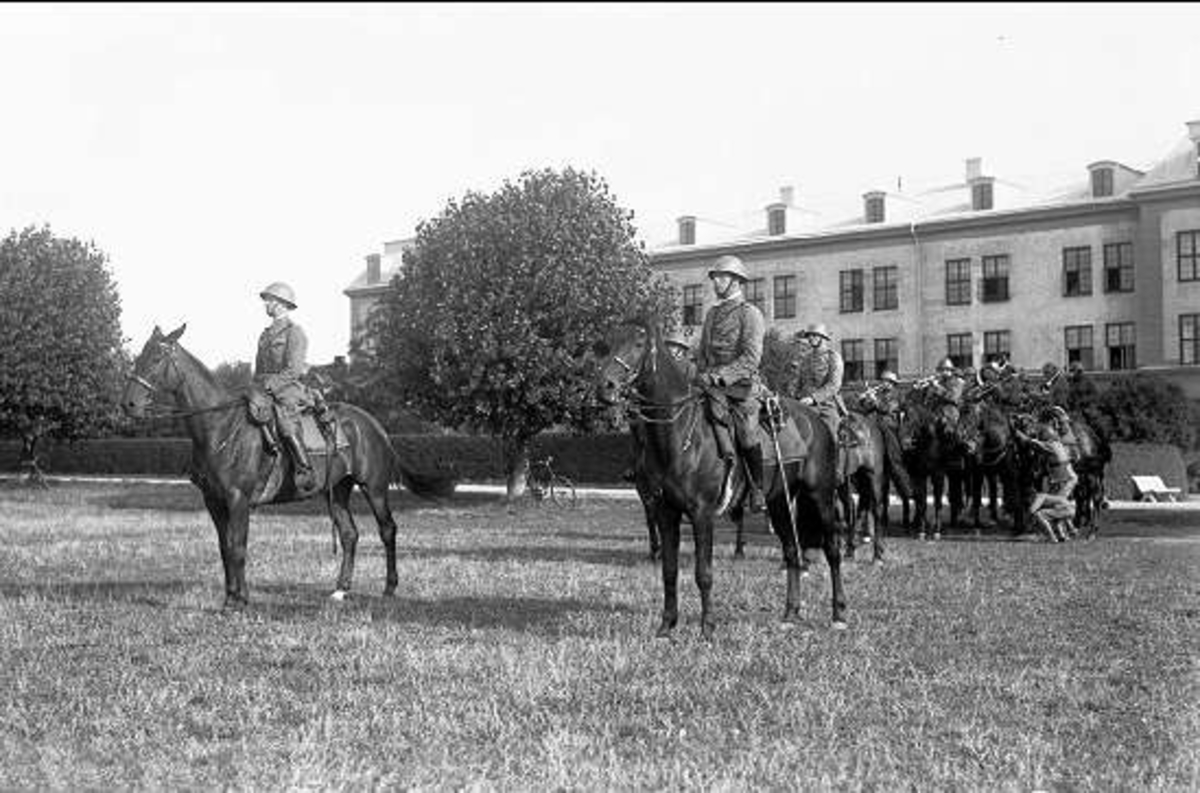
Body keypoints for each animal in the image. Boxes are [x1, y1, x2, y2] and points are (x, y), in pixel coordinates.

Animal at [120, 324, 452, 608]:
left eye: (157, 358)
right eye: (139, 356)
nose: (128, 405)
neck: (220, 428)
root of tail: (375, 426)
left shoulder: (238, 499)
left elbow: (237, 546)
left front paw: (237, 601)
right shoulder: (214, 501)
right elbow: (225, 548)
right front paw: (232, 597)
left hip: (374, 488)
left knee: (387, 530)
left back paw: (389, 587)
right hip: (338, 490)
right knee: (349, 535)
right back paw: (341, 589)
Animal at [596, 319, 845, 638]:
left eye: (639, 343)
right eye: (608, 343)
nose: (605, 387)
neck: (678, 435)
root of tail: (815, 420)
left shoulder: (702, 514)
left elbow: (703, 573)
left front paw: (707, 627)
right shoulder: (665, 512)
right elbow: (669, 570)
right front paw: (666, 625)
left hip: (821, 496)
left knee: (832, 549)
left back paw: (838, 613)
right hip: (780, 502)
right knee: (792, 551)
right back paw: (790, 613)